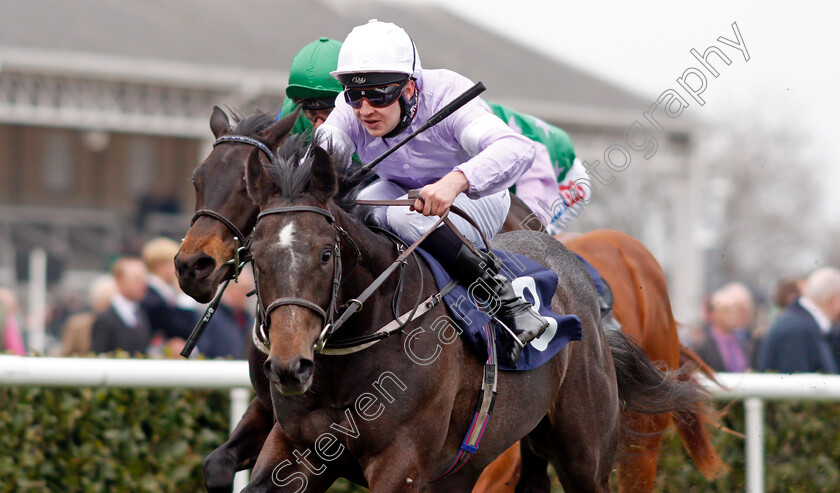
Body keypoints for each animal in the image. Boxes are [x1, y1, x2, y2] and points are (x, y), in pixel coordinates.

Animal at [172, 106, 720, 488]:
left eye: (327, 254)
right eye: (197, 180)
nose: (191, 265)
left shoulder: (403, 463)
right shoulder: (294, 442)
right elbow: (223, 465)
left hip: (590, 449)